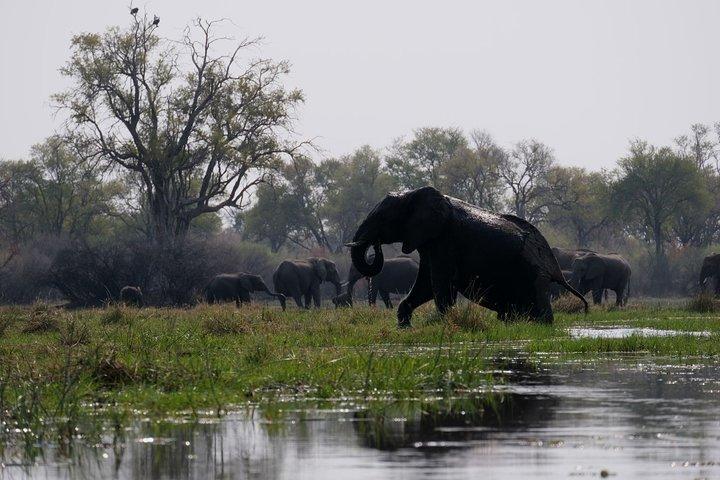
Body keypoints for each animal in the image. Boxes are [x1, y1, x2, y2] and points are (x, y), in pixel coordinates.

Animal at [347, 186, 588, 327]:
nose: (375, 245)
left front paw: (443, 323)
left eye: (383, 218)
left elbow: (439, 284)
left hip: (534, 273)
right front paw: (404, 327)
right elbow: (425, 284)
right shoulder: (429, 243)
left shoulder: (446, 240)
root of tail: (554, 267)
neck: (413, 195)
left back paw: (540, 325)